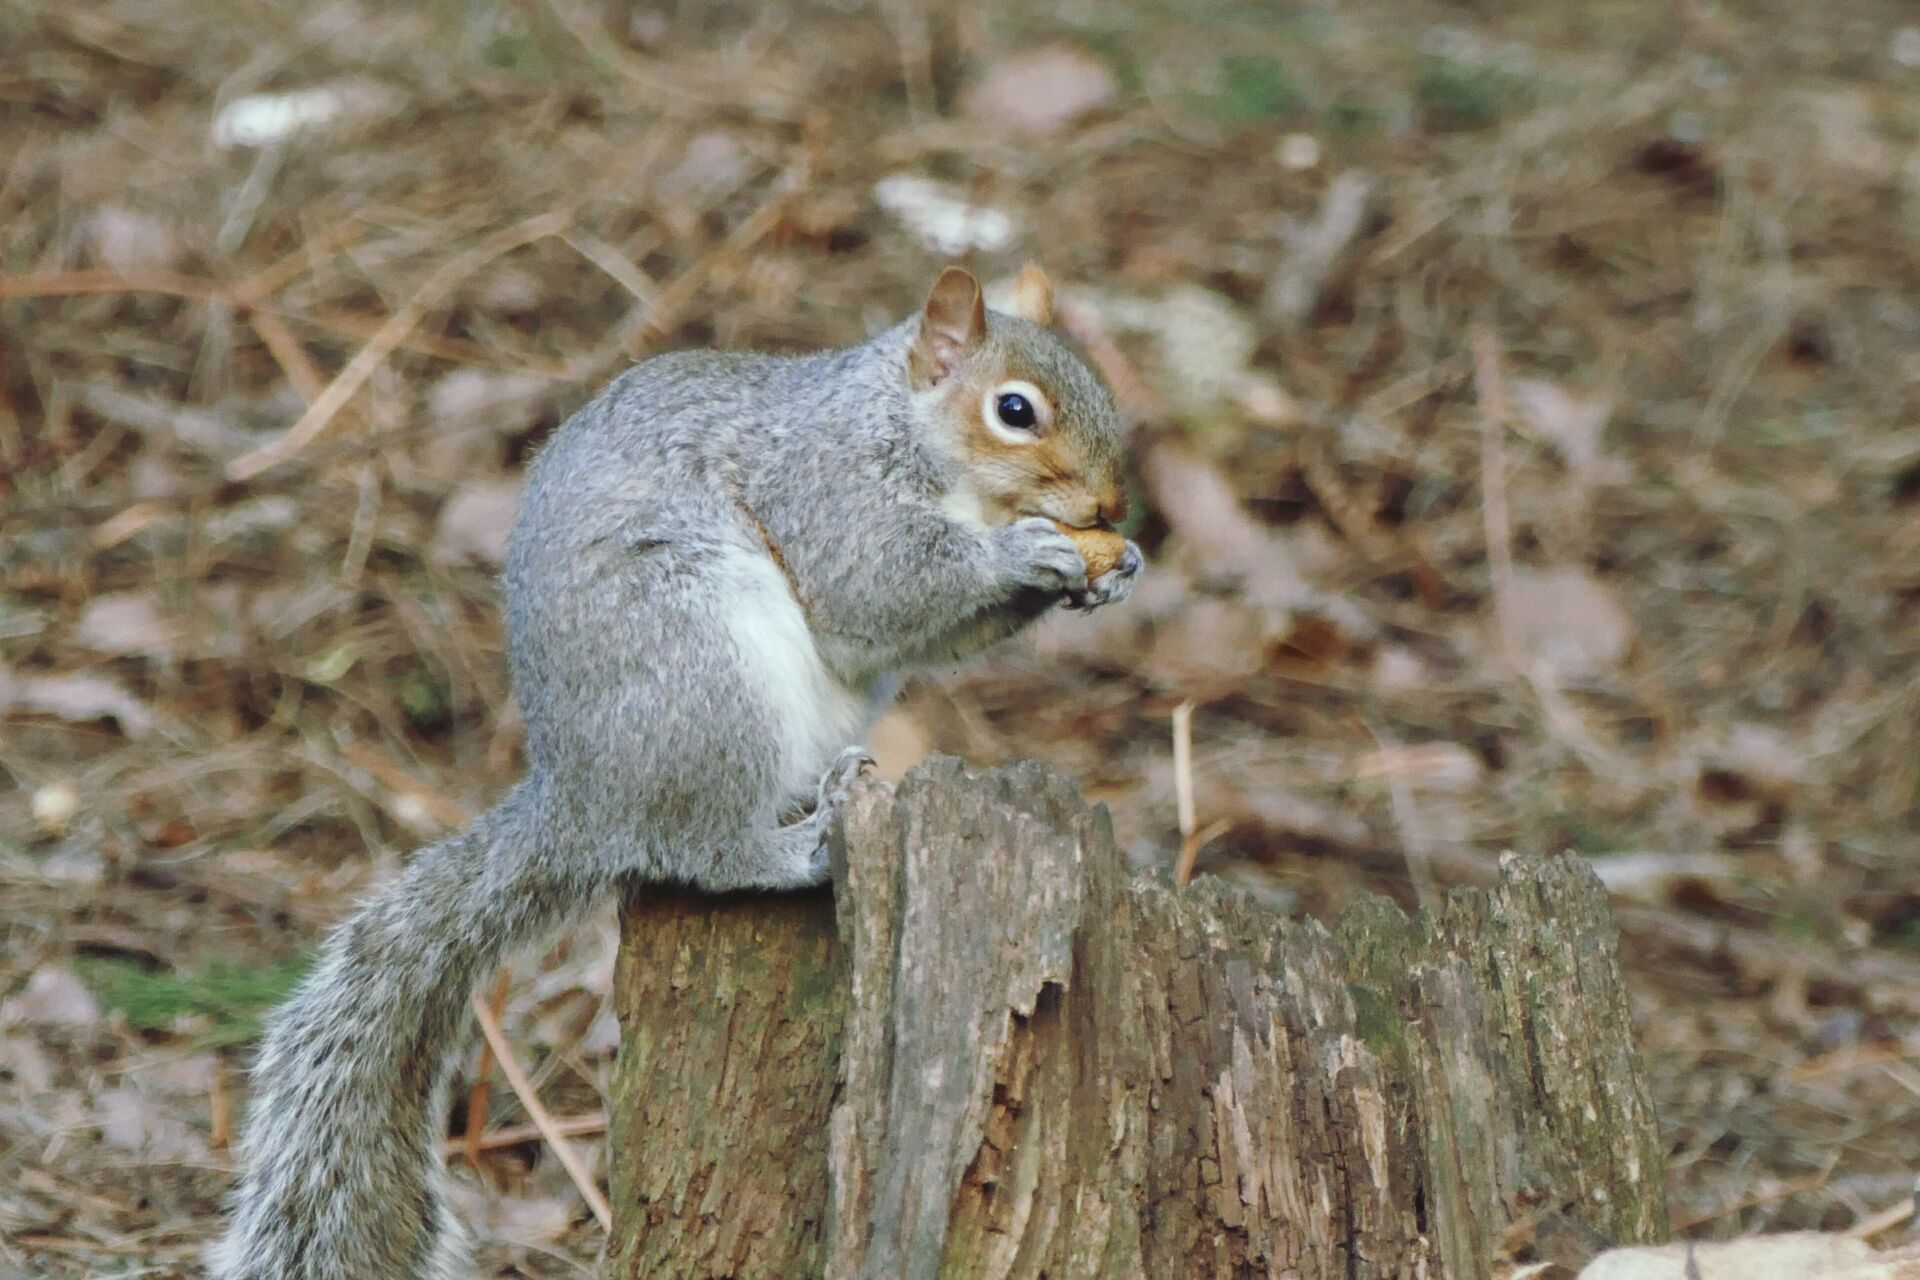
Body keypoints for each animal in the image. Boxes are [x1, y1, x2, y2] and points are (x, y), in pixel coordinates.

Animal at [210, 264, 1142, 1280]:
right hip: (702, 675)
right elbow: (878, 586)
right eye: (1015, 410)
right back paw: (800, 845)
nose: (1109, 510)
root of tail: (582, 802)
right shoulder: (827, 488)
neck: (897, 423)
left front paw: (1110, 570)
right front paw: (1026, 552)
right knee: (703, 850)